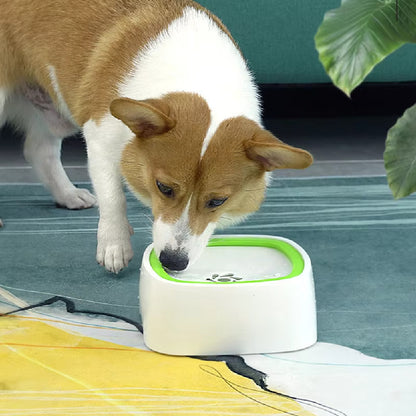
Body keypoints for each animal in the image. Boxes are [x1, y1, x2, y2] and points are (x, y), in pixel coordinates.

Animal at [0, 0, 312, 272]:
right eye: (164, 188)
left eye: (217, 202)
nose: (173, 262)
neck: (199, 71)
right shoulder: (100, 138)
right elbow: (113, 198)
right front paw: (114, 245)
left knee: (39, 150)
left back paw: (68, 194)